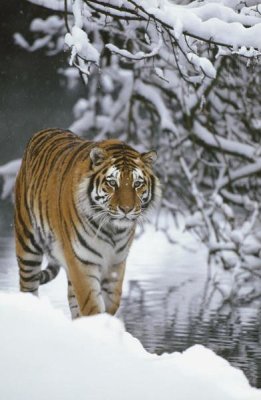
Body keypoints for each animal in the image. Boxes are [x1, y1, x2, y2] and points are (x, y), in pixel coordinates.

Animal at [14, 128, 160, 318]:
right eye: (112, 183)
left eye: (137, 184)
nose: (126, 209)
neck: (113, 230)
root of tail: (43, 131)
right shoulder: (82, 262)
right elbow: (92, 305)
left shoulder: (116, 263)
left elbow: (111, 303)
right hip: (27, 245)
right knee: (28, 288)